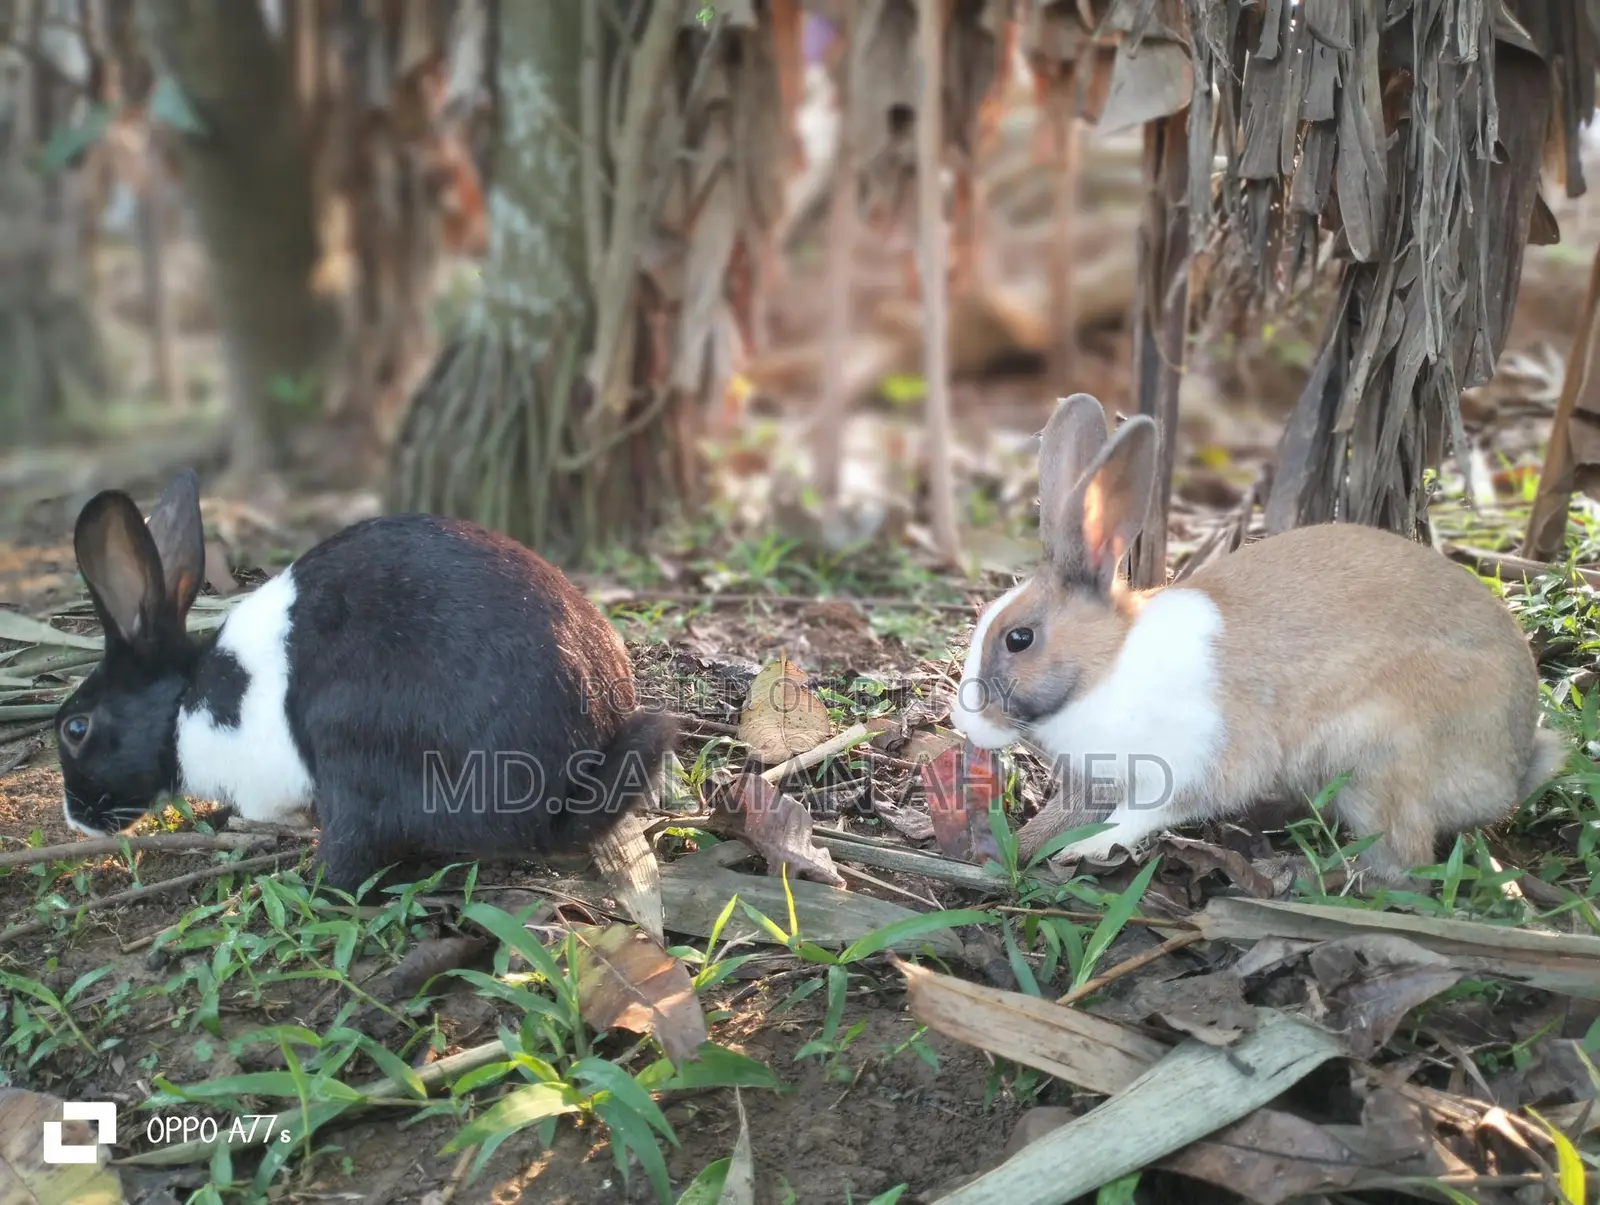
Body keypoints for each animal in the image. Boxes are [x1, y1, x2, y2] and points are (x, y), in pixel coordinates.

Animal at [53, 469, 676, 894]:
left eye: (75, 729)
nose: (74, 819)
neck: (183, 704)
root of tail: (557, 796)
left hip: (352, 743)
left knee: (350, 858)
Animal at [952, 393, 1569, 887]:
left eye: (1020, 638)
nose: (966, 722)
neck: (1107, 667)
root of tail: (1510, 770)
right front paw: (1021, 847)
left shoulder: (1197, 763)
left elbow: (1145, 814)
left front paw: (1088, 849)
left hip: (1377, 761)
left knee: (1400, 863)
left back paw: (1301, 874)